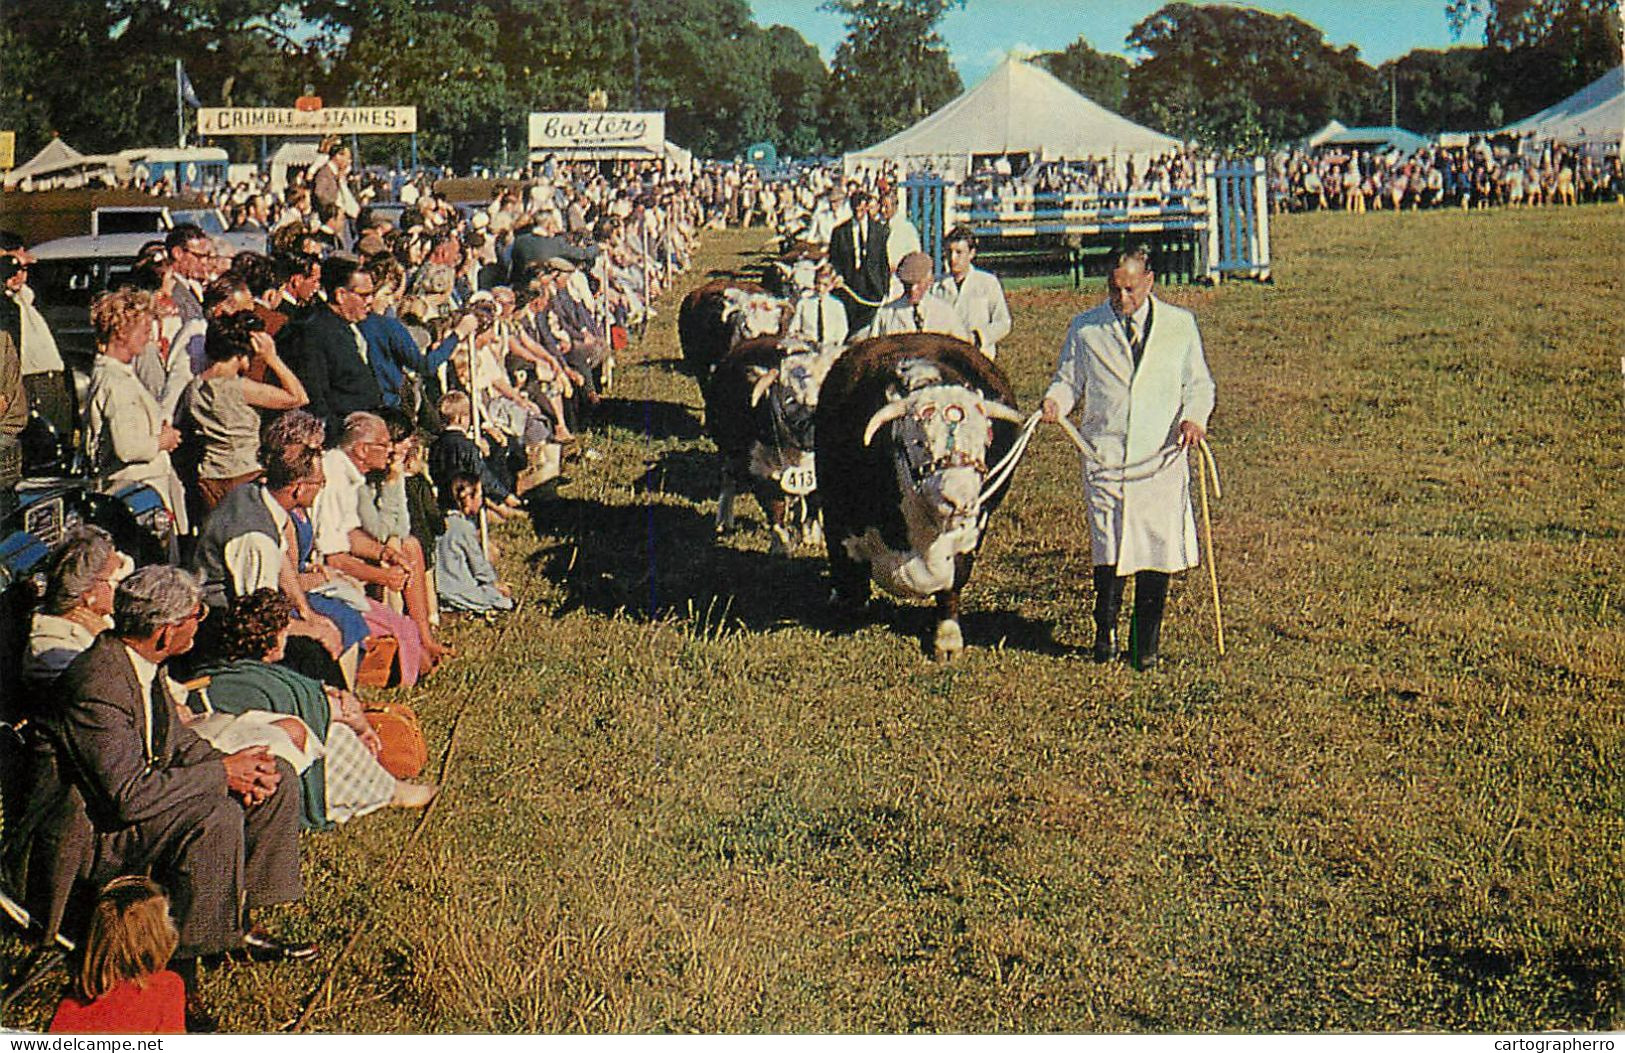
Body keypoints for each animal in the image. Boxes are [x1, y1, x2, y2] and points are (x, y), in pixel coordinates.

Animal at [708, 338, 845, 555]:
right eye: (789, 397)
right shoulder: (759, 471)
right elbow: (775, 510)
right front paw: (781, 545)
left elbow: (814, 501)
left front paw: (812, 536)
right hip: (727, 449)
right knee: (728, 479)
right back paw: (724, 521)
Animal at [819, 333, 1020, 656]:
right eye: (920, 442)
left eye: (984, 440)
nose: (959, 500)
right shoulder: (838, 519)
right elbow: (850, 575)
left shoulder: (972, 532)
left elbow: (953, 583)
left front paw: (947, 639)